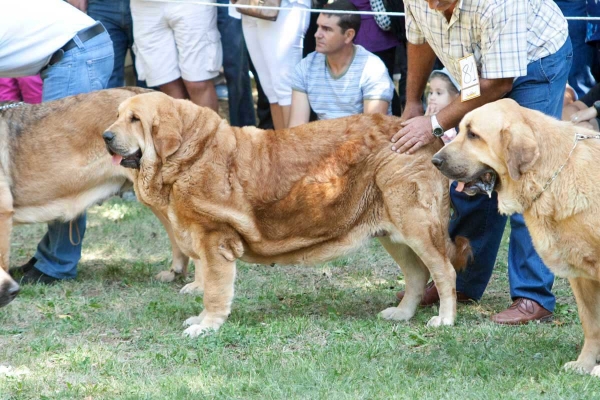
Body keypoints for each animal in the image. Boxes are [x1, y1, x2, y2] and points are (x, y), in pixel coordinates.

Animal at [103, 93, 472, 338]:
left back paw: (445, 320)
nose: (105, 135)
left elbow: (214, 291)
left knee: (444, 272)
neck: (189, 156)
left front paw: (207, 326)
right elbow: (206, 282)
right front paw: (201, 320)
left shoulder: (215, 242)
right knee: (416, 274)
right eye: (117, 116)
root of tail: (430, 141)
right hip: (393, 234)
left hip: (417, 227)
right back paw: (402, 314)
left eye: (135, 120)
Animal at [432, 97, 600, 378]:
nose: (435, 160)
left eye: (473, 135)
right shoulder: (580, 275)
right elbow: (591, 323)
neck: (548, 172)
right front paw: (584, 364)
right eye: (462, 130)